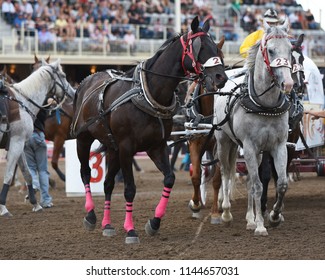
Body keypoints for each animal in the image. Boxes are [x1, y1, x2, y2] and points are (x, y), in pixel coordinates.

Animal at [0, 59, 74, 217]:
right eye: (63, 76)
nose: (73, 92)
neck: (22, 101)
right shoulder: (17, 142)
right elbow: (9, 174)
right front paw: (3, 207)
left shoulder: (19, 143)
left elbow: (27, 173)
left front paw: (35, 203)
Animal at [71, 16, 228, 243]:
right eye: (200, 47)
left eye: (216, 47)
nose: (220, 77)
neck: (149, 93)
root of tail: (87, 80)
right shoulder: (127, 148)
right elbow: (129, 189)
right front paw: (130, 229)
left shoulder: (157, 146)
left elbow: (169, 179)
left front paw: (154, 222)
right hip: (83, 140)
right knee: (85, 173)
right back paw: (91, 215)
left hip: (112, 148)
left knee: (108, 183)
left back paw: (107, 224)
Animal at [214, 18, 292, 235]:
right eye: (271, 50)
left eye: (291, 49)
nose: (288, 84)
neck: (265, 105)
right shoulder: (248, 145)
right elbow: (257, 186)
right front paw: (260, 226)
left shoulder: (279, 146)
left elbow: (280, 183)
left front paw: (273, 217)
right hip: (224, 142)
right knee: (225, 172)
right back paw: (226, 212)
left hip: (255, 153)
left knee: (249, 179)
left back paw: (250, 218)